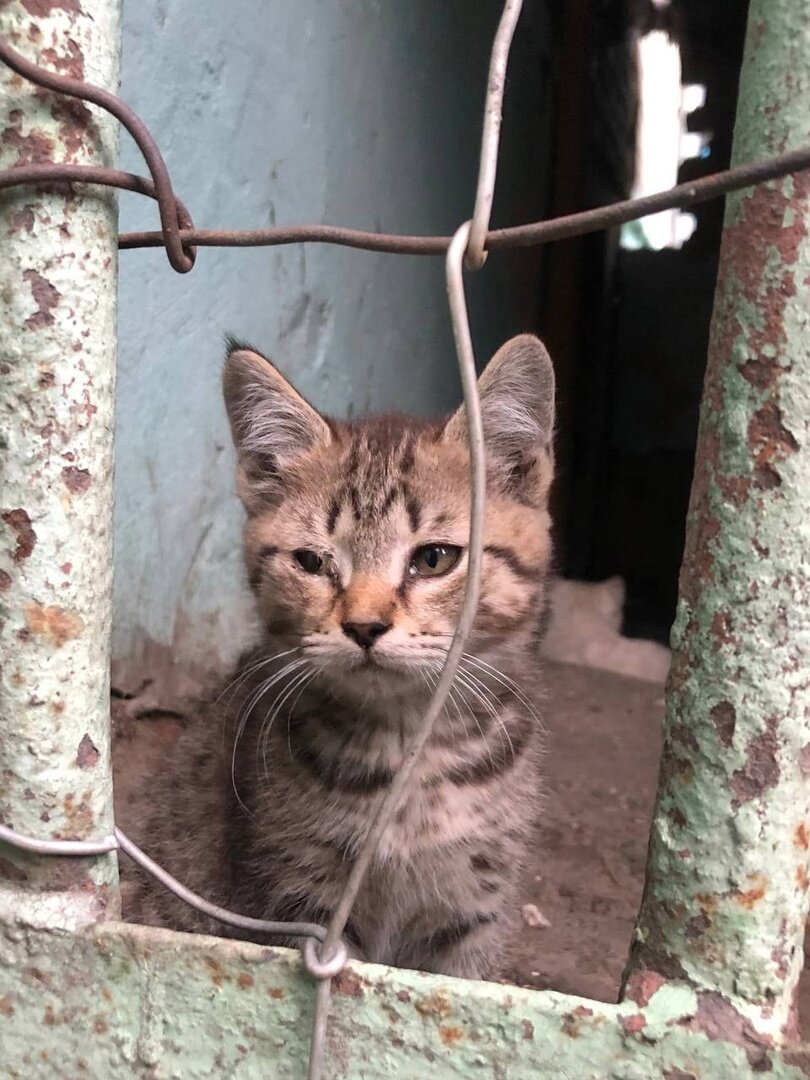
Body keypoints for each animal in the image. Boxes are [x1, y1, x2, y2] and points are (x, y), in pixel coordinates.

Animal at [125, 330, 557, 980]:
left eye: (434, 558)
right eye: (312, 562)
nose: (364, 625)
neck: (409, 759)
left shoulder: (472, 910)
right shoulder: (298, 903)